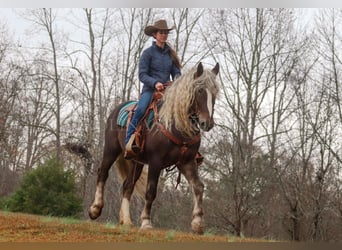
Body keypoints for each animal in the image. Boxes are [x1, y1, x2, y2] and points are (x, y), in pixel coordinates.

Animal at [89, 61, 219, 233]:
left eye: (215, 93)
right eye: (199, 91)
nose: (207, 123)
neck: (176, 125)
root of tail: (117, 109)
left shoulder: (187, 162)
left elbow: (198, 187)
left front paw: (198, 223)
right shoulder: (155, 162)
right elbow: (150, 191)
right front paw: (146, 222)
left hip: (136, 162)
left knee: (127, 186)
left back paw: (126, 220)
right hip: (111, 150)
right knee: (102, 174)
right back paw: (95, 209)